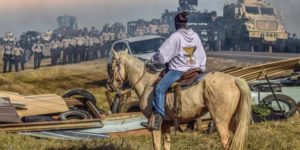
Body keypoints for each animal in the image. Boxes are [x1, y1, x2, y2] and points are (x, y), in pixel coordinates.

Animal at [108, 50, 251, 150]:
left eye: (112, 67)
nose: (110, 86)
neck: (147, 83)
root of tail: (235, 80)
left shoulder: (154, 123)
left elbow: (156, 145)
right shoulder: (166, 124)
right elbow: (166, 145)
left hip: (220, 121)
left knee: (226, 142)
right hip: (233, 120)